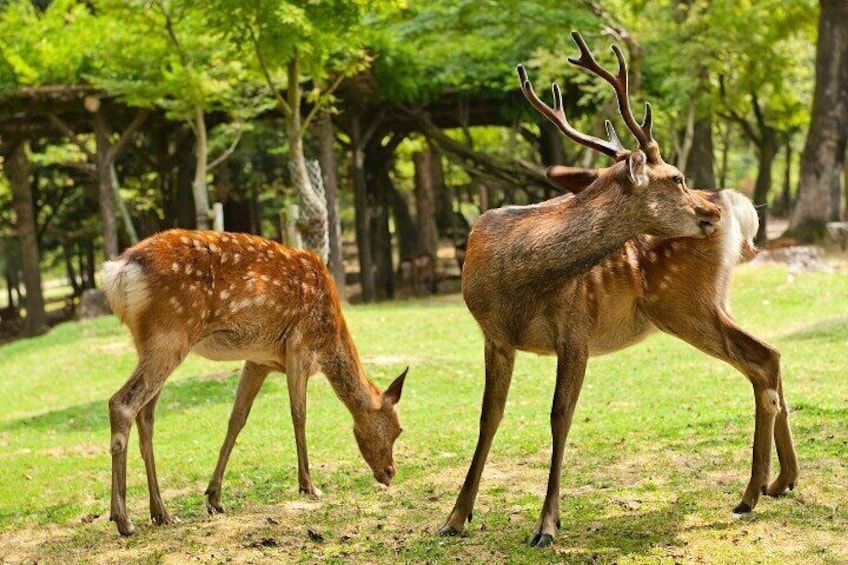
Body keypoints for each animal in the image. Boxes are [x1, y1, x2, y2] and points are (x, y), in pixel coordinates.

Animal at [102, 230, 408, 536]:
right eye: (397, 429)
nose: (390, 472)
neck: (329, 338)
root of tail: (119, 272)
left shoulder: (259, 359)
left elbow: (237, 419)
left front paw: (214, 497)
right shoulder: (299, 347)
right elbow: (299, 415)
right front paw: (309, 486)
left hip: (148, 343)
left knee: (146, 416)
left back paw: (161, 513)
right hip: (170, 334)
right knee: (122, 403)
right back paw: (123, 519)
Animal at [438, 32, 744, 548]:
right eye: (677, 177)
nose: (712, 210)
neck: (517, 283)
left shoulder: (576, 328)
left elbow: (559, 417)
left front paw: (545, 525)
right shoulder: (494, 336)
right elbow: (488, 417)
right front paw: (455, 517)